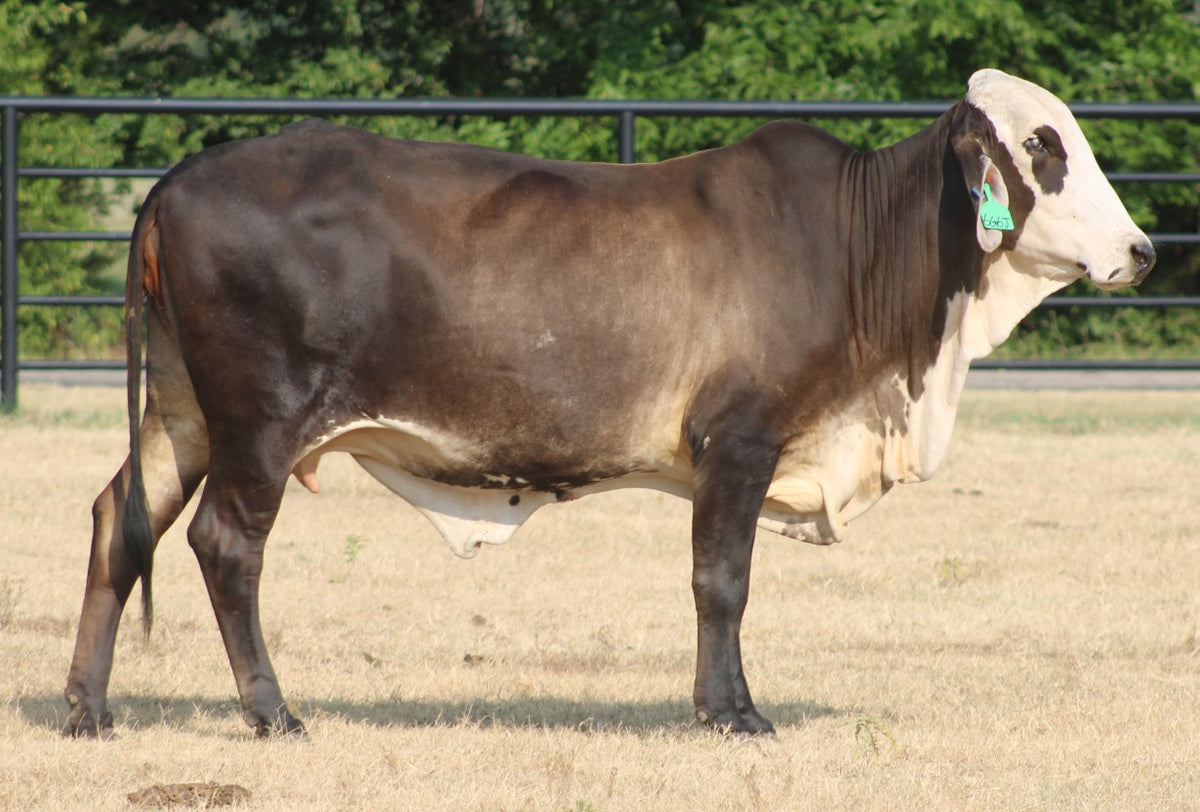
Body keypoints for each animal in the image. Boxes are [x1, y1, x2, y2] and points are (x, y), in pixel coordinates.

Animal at [64, 69, 1154, 738]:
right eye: (1044, 146)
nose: (1141, 250)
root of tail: (180, 177)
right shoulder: (738, 439)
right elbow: (722, 581)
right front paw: (731, 712)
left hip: (184, 410)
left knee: (121, 518)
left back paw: (87, 707)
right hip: (259, 419)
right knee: (223, 545)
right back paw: (272, 710)